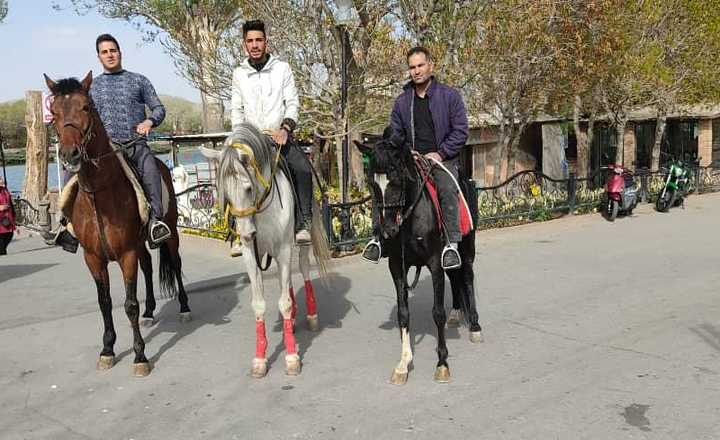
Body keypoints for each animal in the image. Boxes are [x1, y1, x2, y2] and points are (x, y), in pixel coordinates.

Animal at [44, 73, 191, 378]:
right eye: (54, 112)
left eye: (86, 106)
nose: (69, 154)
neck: (99, 194)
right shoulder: (93, 258)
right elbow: (105, 303)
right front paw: (108, 349)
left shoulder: (126, 255)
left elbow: (129, 304)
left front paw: (140, 356)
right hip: (139, 244)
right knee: (148, 267)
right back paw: (150, 312)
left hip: (170, 234)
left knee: (175, 263)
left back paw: (184, 308)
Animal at [198, 124, 330, 378]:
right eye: (225, 194)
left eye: (248, 188)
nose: (246, 234)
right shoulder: (253, 256)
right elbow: (259, 304)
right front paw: (260, 358)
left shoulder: (284, 249)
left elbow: (284, 302)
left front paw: (292, 357)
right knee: (285, 279)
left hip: (300, 244)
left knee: (303, 269)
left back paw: (311, 315)